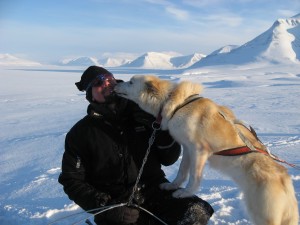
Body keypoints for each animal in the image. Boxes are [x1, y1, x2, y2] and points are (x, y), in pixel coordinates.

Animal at [114, 75, 298, 225]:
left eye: (131, 82)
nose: (116, 83)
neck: (176, 104)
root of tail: (284, 178)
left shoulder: (199, 150)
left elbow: (194, 177)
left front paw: (185, 193)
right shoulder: (187, 149)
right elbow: (182, 172)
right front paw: (173, 186)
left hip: (262, 215)